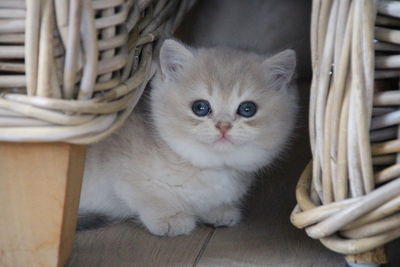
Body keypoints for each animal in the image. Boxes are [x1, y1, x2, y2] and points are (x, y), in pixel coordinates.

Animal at [79, 39, 296, 237]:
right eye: (200, 107)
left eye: (247, 109)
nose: (223, 126)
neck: (210, 168)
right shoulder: (120, 167)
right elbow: (146, 194)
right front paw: (170, 217)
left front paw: (217, 210)